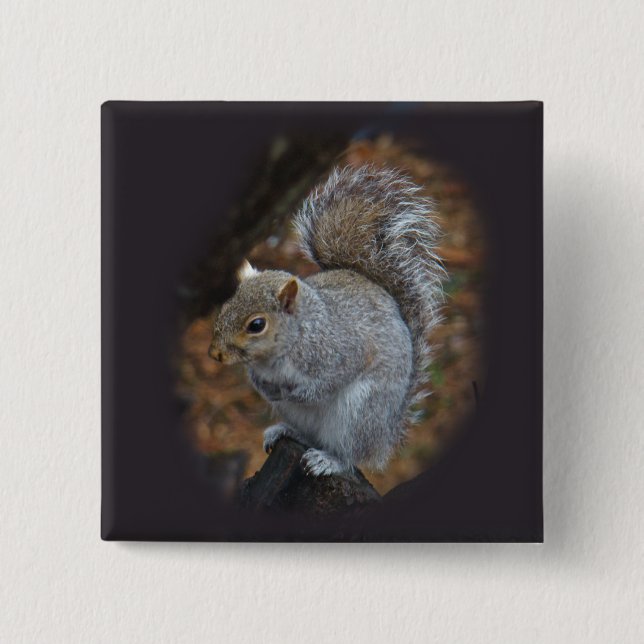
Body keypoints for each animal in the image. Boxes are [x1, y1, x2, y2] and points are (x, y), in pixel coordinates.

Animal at [209, 164, 445, 476]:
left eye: (256, 325)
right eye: (227, 304)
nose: (215, 353)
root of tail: (385, 437)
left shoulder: (339, 351)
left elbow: (331, 381)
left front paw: (297, 393)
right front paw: (267, 389)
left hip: (359, 413)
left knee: (350, 455)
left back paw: (329, 460)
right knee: (311, 437)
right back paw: (284, 431)